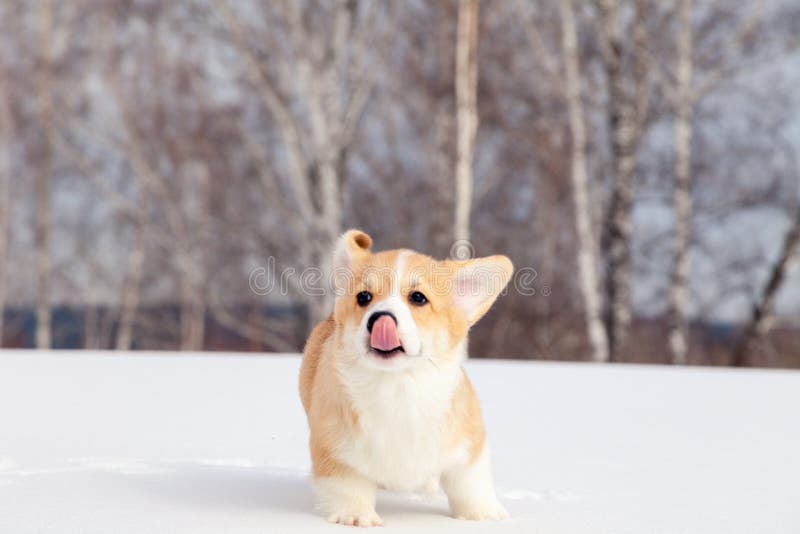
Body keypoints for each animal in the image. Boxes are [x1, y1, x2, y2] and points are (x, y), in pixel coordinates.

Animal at [300, 230, 512, 528]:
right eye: (364, 297)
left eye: (418, 298)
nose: (380, 318)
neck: (397, 385)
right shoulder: (335, 449)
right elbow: (348, 487)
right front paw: (356, 516)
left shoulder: (469, 444)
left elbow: (470, 483)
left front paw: (481, 515)